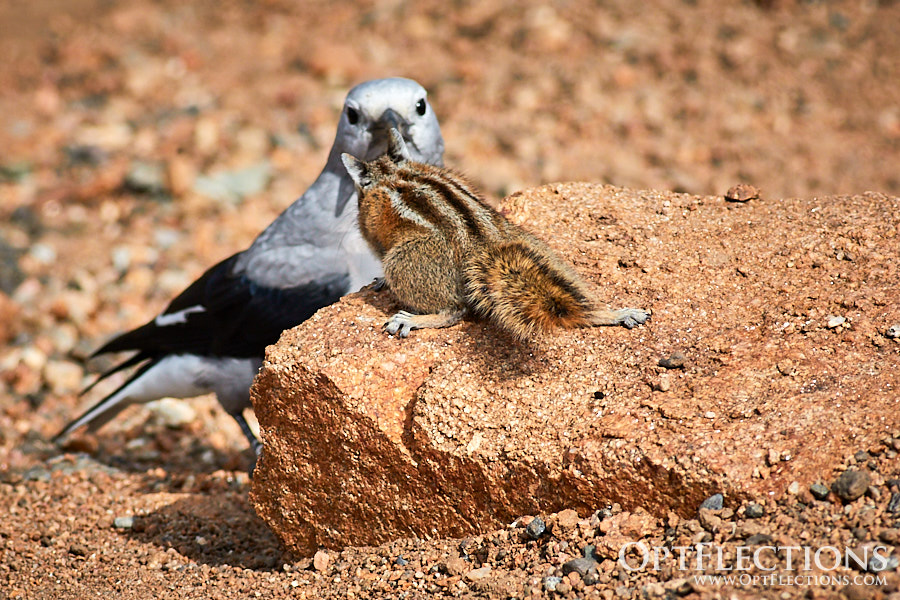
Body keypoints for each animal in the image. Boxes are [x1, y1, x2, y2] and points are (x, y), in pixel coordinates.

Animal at [341, 129, 649, 341]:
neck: (391, 172)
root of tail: (482, 244)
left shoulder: (373, 234)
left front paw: (380, 280)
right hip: (540, 251)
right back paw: (619, 313)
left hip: (403, 261)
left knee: (454, 312)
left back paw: (410, 320)